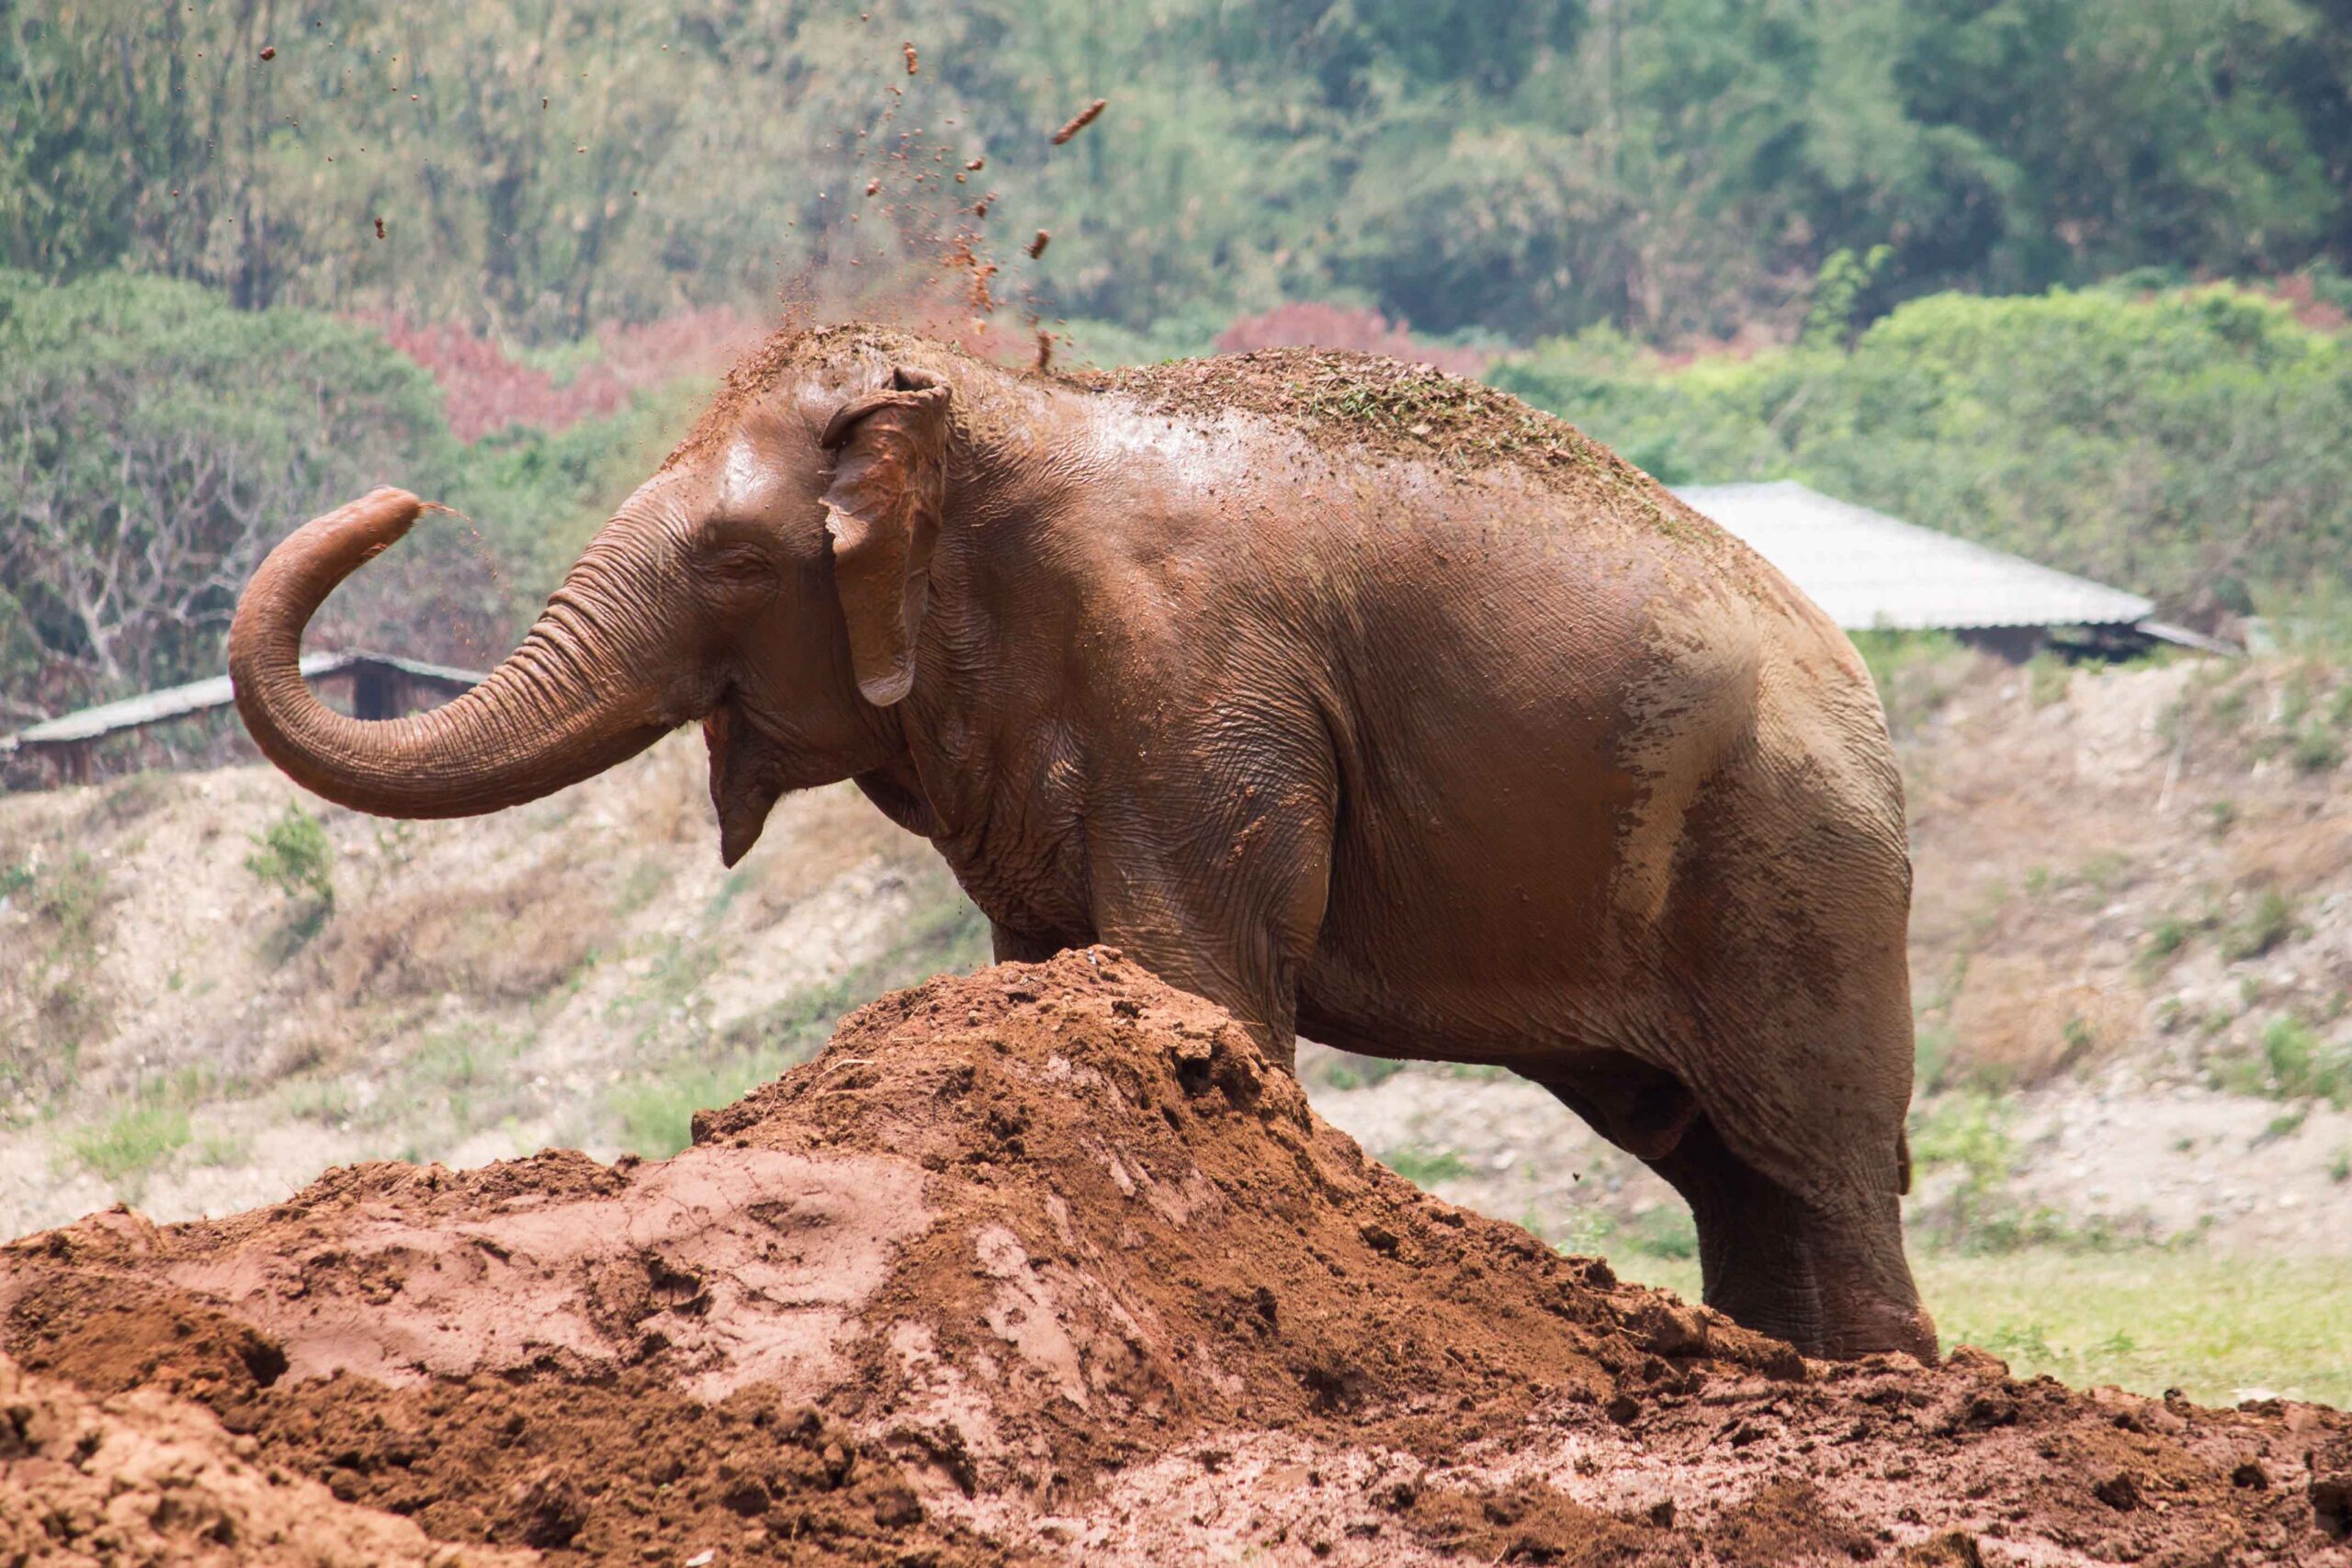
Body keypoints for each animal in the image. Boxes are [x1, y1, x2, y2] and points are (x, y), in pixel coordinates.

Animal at [230, 324, 1935, 1361]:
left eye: (729, 561)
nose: (403, 498)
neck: (984, 399)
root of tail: (1861, 682)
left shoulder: (1202, 691)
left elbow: (1200, 976)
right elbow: (1048, 963)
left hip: (1794, 863)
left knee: (1816, 1156)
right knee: (1722, 1165)